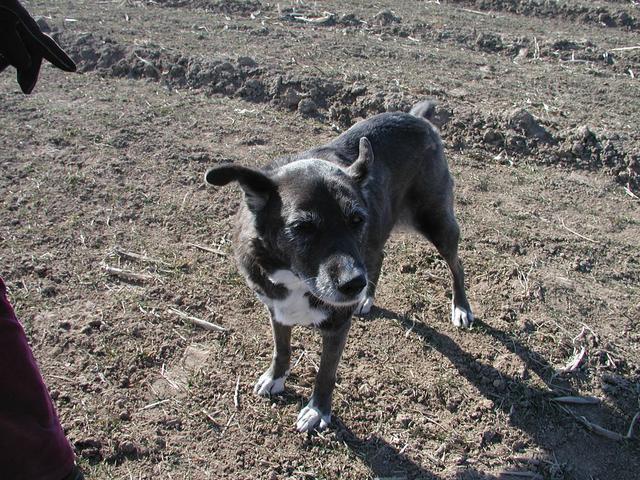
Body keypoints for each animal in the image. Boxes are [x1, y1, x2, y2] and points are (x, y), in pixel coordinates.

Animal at [205, 99, 476, 434]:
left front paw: (317, 410)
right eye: (303, 227)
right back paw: (367, 299)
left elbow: (326, 372)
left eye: (356, 219)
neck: (295, 278)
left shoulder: (337, 326)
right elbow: (282, 349)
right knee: (378, 256)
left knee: (456, 265)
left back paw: (460, 307)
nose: (353, 285)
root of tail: (416, 118)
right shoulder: (275, 308)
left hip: (436, 222)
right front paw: (275, 378)